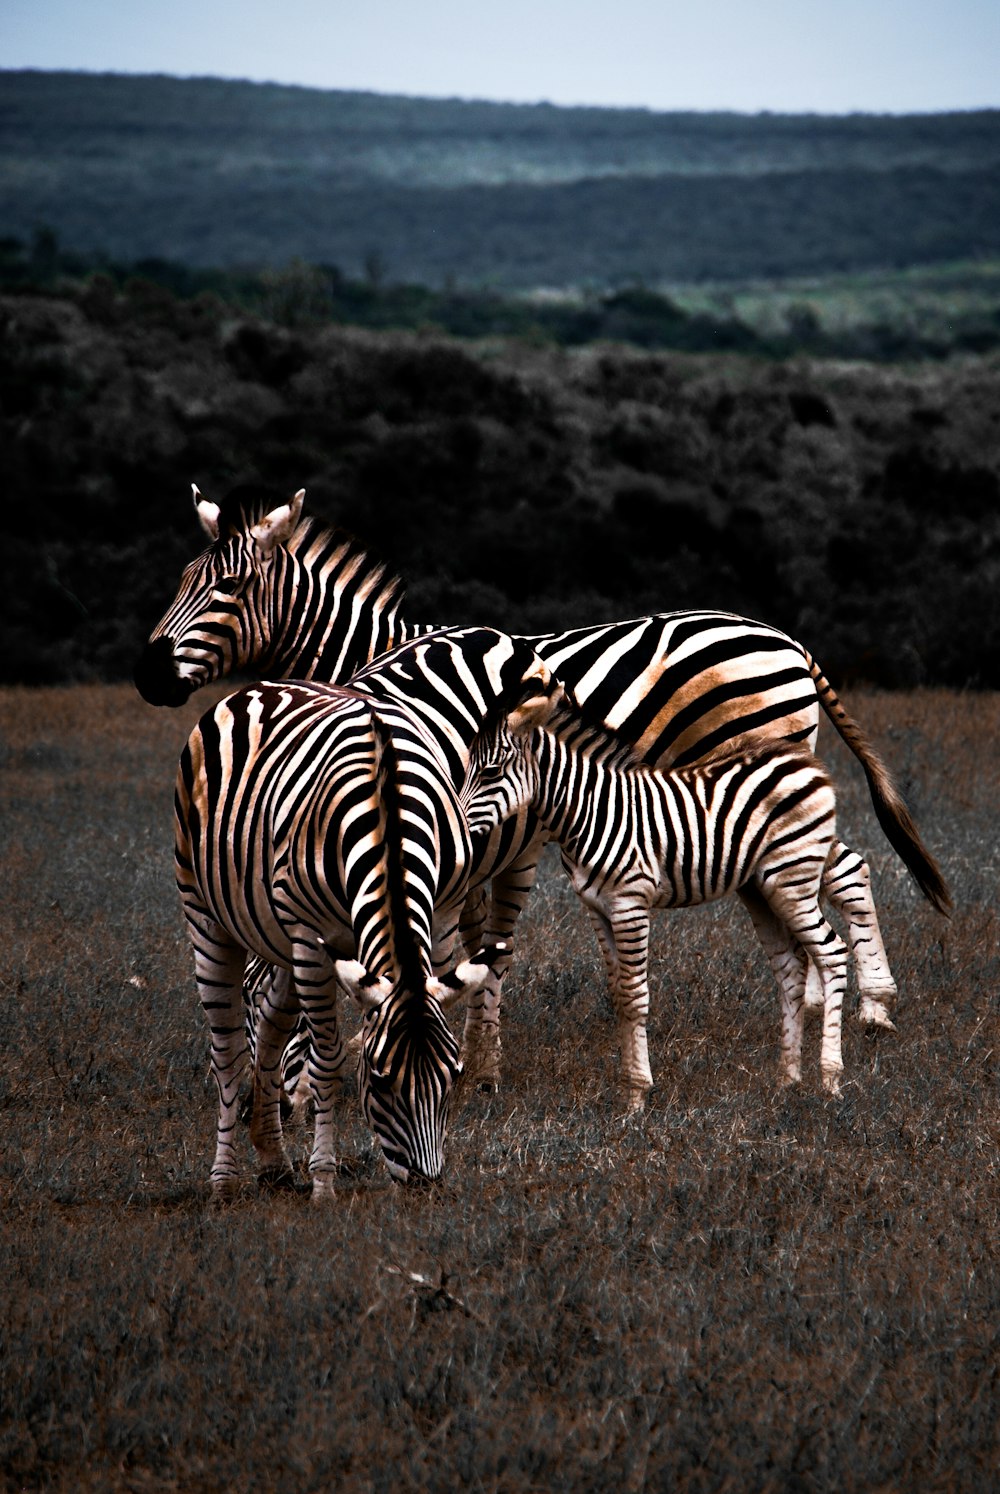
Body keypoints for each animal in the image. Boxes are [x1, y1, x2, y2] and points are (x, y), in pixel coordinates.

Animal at [172, 684, 511, 1195]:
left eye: (452, 1078)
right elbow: (326, 1061)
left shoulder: (442, 919)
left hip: (285, 944)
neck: (388, 813)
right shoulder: (313, 941)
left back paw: (273, 1158)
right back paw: (225, 1181)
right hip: (209, 915)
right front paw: (325, 1184)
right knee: (227, 1054)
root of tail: (256, 689)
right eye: (381, 1080)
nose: (425, 1187)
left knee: (270, 1023)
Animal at [460, 675, 878, 1099]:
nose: (459, 828)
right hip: (763, 890)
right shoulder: (597, 908)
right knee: (793, 966)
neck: (592, 810)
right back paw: (787, 1080)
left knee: (832, 953)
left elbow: (635, 996)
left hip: (794, 876)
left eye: (490, 772)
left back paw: (830, 1080)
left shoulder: (631, 902)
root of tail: (806, 763)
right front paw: (628, 1085)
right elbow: (619, 994)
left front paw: (637, 1093)